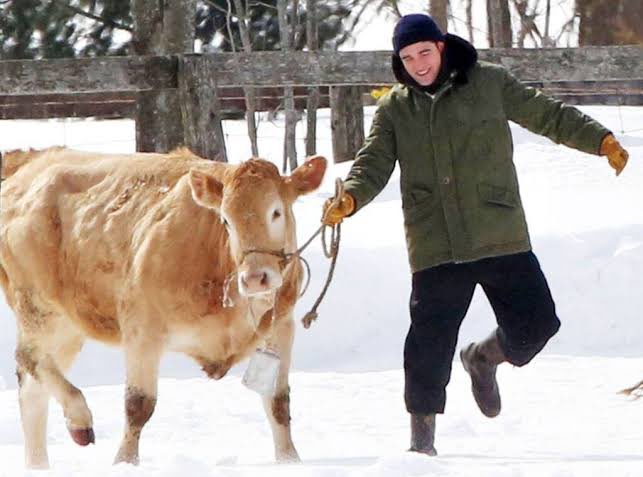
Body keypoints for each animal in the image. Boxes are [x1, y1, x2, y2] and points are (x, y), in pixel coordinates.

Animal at [0, 146, 327, 468]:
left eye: (276, 211)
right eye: (225, 220)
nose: (256, 277)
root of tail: (30, 163)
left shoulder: (282, 326)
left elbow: (277, 401)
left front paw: (290, 460)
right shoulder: (141, 327)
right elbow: (138, 404)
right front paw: (124, 462)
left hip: (68, 326)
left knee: (33, 392)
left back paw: (38, 465)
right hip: (38, 305)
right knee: (29, 357)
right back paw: (79, 419)